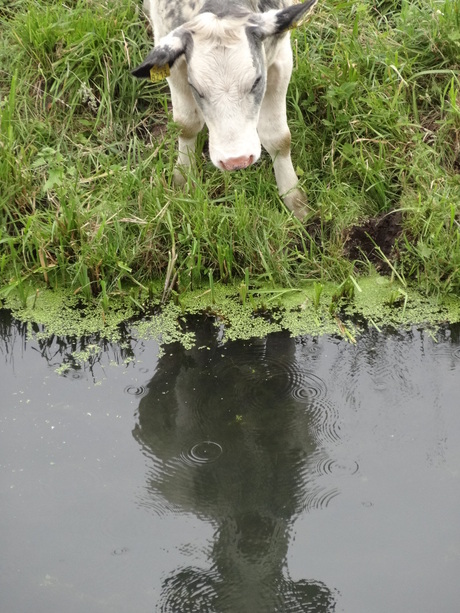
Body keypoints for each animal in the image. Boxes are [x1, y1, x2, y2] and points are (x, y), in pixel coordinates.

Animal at [131, 0, 318, 220]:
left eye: (257, 81)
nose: (236, 161)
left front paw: (295, 200)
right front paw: (182, 178)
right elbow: (186, 125)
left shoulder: (281, 58)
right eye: (195, 88)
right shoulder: (173, 64)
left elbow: (278, 138)